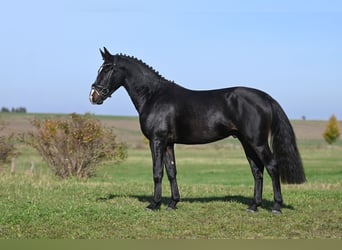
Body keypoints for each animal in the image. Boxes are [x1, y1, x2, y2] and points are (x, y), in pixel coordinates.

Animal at [89, 47, 306, 213]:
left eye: (108, 68)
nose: (93, 95)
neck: (154, 95)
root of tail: (266, 98)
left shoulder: (157, 140)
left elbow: (157, 171)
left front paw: (154, 204)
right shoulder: (168, 143)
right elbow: (172, 171)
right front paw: (173, 203)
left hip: (257, 142)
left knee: (272, 166)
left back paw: (276, 207)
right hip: (246, 142)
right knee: (257, 170)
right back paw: (253, 206)